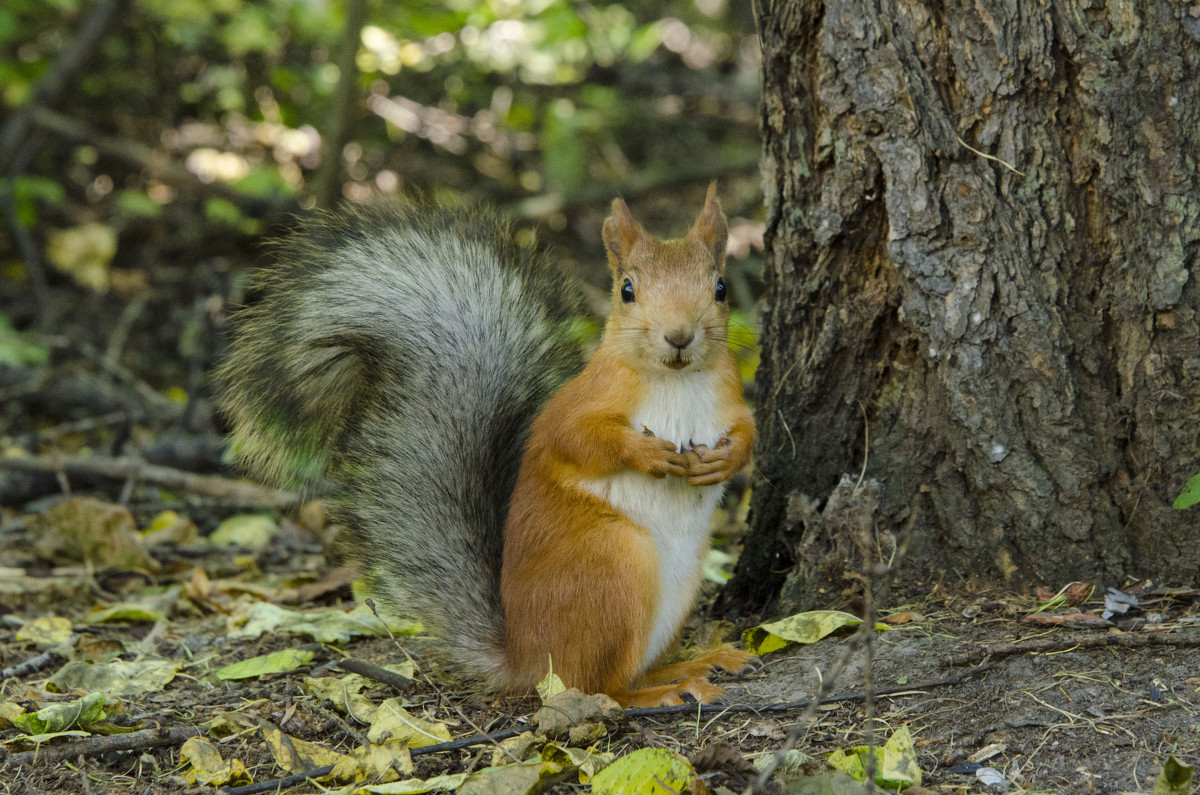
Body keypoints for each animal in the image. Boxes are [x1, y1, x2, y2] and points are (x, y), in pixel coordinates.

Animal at [220, 183, 753, 706]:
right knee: (597, 687)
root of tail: (526, 656)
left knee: (625, 673)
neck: (675, 381)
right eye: (627, 291)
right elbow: (576, 440)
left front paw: (725, 460)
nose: (679, 336)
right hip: (615, 567)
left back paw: (693, 665)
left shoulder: (731, 398)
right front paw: (646, 453)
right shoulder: (578, 403)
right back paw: (667, 690)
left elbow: (749, 432)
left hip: (677, 588)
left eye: (720, 288)